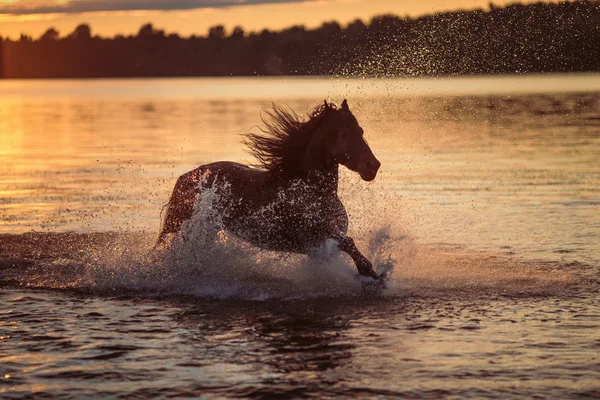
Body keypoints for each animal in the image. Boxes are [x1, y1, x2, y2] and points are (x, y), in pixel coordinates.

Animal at [157, 99, 382, 280]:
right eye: (344, 133)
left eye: (361, 131)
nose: (372, 166)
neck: (313, 190)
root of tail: (187, 176)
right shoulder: (315, 233)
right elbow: (348, 243)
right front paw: (371, 273)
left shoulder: (318, 246)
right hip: (184, 226)